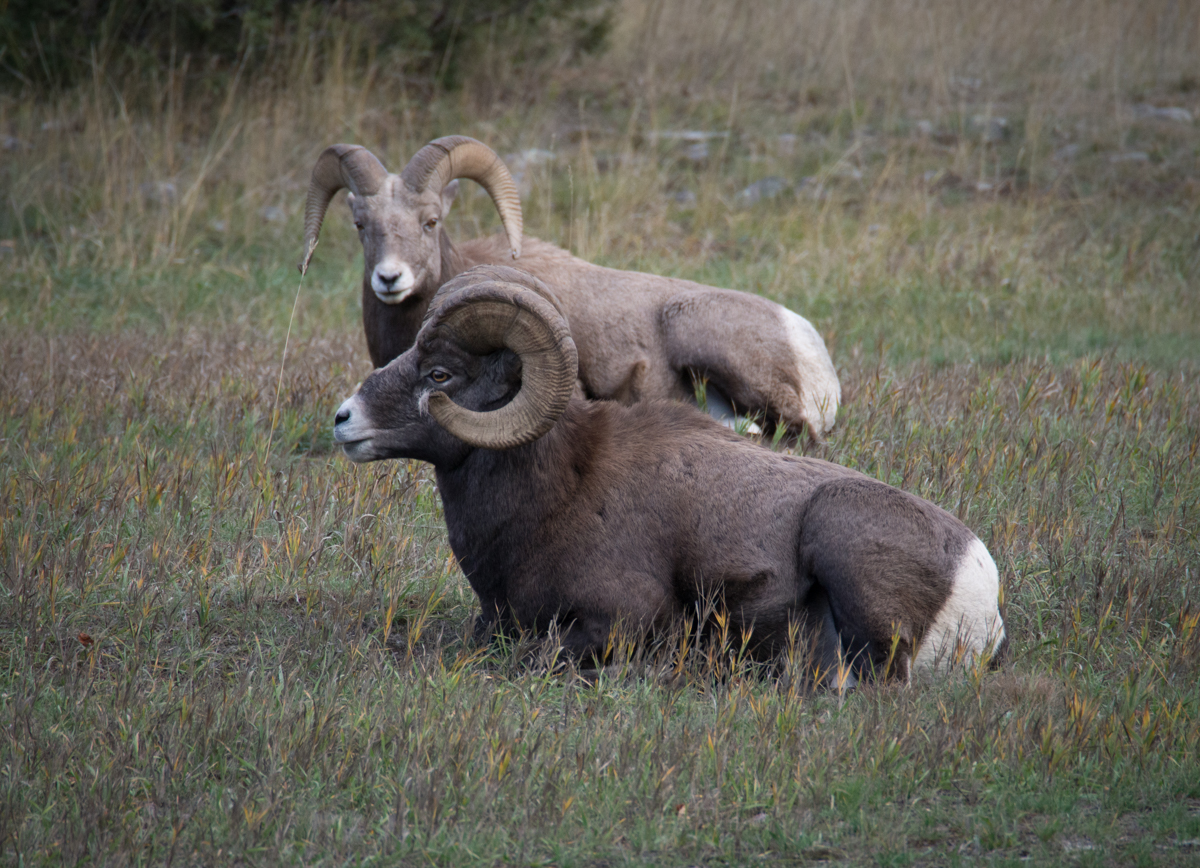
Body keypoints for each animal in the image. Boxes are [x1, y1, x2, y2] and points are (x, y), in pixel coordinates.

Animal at [331, 266, 1006, 683]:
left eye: (440, 374)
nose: (343, 419)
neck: (554, 497)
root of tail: (979, 584)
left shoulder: (623, 619)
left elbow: (542, 657)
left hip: (840, 543)